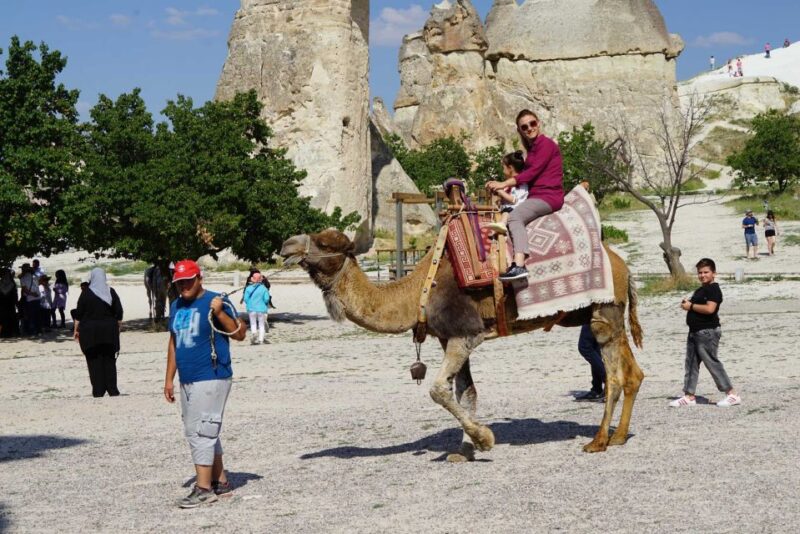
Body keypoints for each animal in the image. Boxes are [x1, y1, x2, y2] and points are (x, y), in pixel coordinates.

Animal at [280, 229, 644, 461]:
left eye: (323, 242)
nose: (286, 246)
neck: (418, 291)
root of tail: (623, 266)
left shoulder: (466, 334)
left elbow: (438, 389)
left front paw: (484, 439)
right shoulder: (448, 338)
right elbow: (465, 392)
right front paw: (464, 450)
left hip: (604, 312)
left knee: (613, 377)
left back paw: (598, 442)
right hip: (608, 315)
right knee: (633, 373)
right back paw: (620, 436)